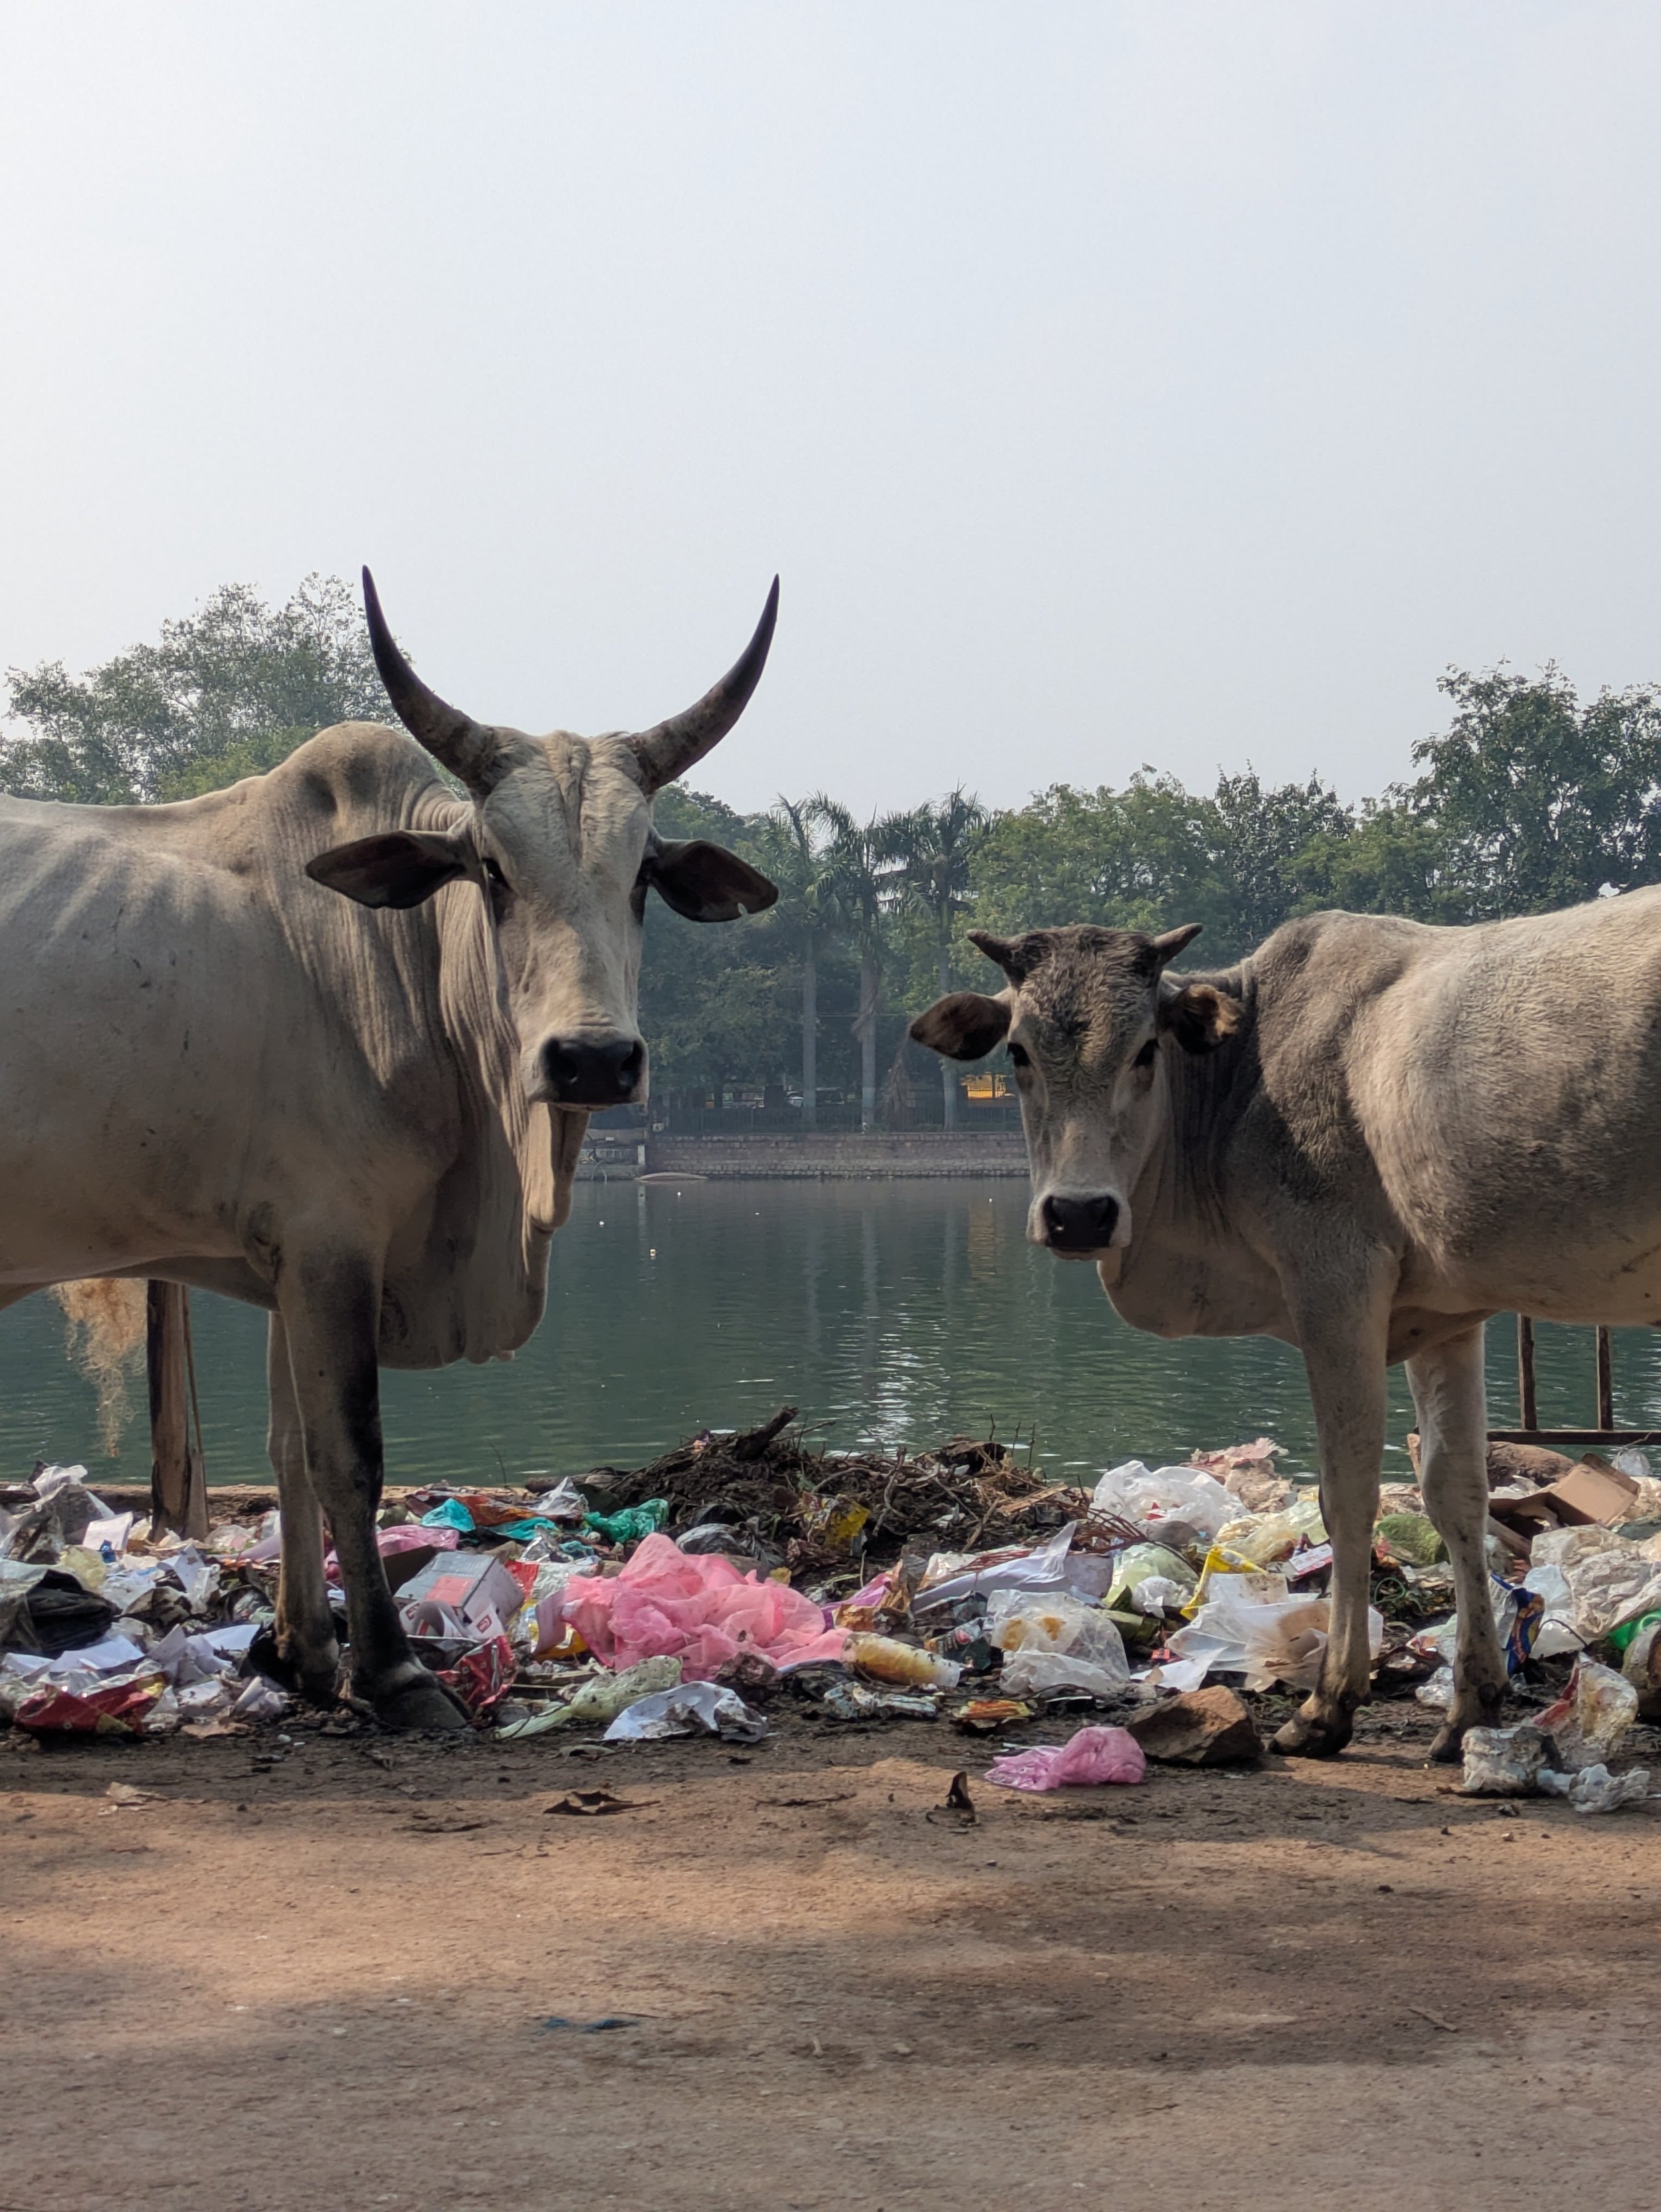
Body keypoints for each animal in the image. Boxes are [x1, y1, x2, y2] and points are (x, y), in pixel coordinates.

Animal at [0, 570, 781, 1728]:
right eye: (491, 870)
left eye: (643, 874)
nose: (594, 1060)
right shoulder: (333, 1243)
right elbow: (348, 1456)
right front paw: (390, 1667)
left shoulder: (281, 1258)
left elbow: (288, 1451)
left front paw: (300, 1653)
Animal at [909, 895, 1661, 1760]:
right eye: (1019, 1052)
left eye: (1145, 1050)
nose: (1079, 1213)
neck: (1240, 1078)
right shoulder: (1444, 1315)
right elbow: (1454, 1490)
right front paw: (1472, 1700)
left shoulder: (1334, 1283)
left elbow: (1347, 1494)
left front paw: (1329, 1701)